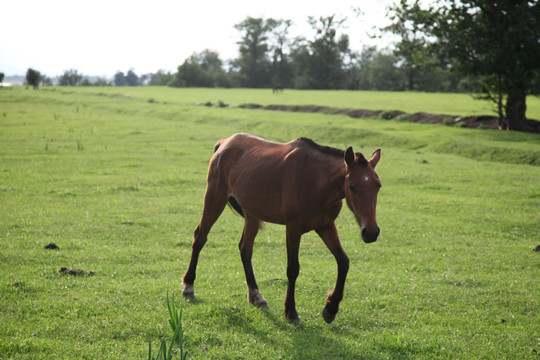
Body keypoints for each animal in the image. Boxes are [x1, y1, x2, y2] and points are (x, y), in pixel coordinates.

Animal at [184, 133, 382, 324]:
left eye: (378, 185)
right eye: (351, 186)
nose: (371, 232)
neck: (317, 180)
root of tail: (225, 143)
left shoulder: (325, 226)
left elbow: (343, 261)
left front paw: (331, 308)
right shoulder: (293, 228)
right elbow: (293, 268)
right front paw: (291, 312)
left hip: (252, 214)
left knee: (245, 249)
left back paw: (257, 297)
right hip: (214, 200)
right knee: (200, 238)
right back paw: (188, 286)